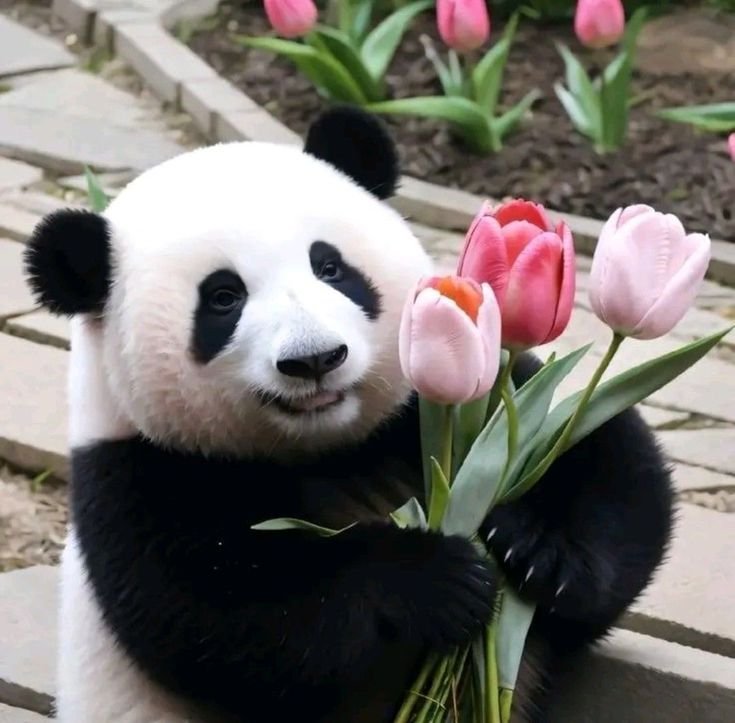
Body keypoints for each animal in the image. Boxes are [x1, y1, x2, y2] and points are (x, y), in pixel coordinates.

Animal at [24, 107, 673, 723]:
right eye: (223, 298)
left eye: (330, 268)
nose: (314, 359)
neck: (328, 448)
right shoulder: (139, 473)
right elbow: (225, 621)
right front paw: (435, 577)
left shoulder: (451, 395)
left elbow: (608, 465)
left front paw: (537, 552)